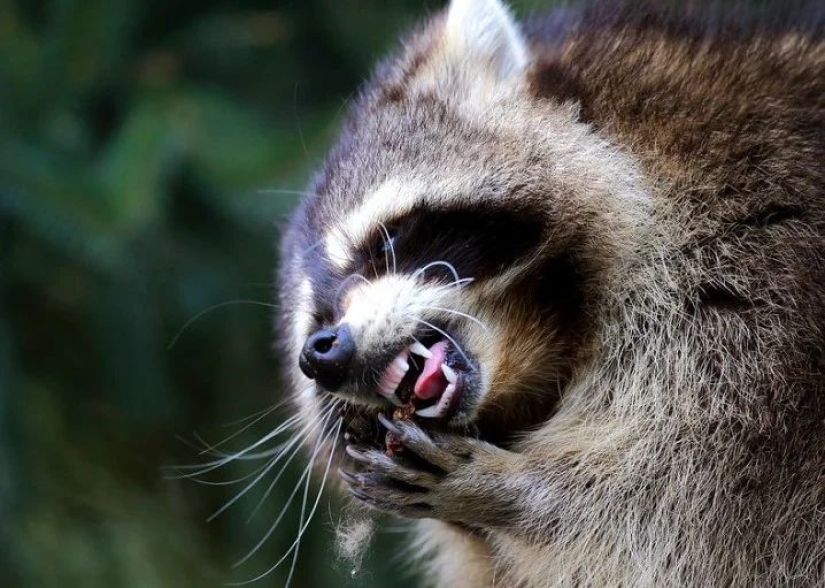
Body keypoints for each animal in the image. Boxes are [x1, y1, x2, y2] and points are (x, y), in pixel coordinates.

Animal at [276, 0, 825, 586]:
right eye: (317, 318)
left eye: (387, 243)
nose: (322, 351)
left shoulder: (748, 283)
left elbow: (671, 490)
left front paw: (515, 491)